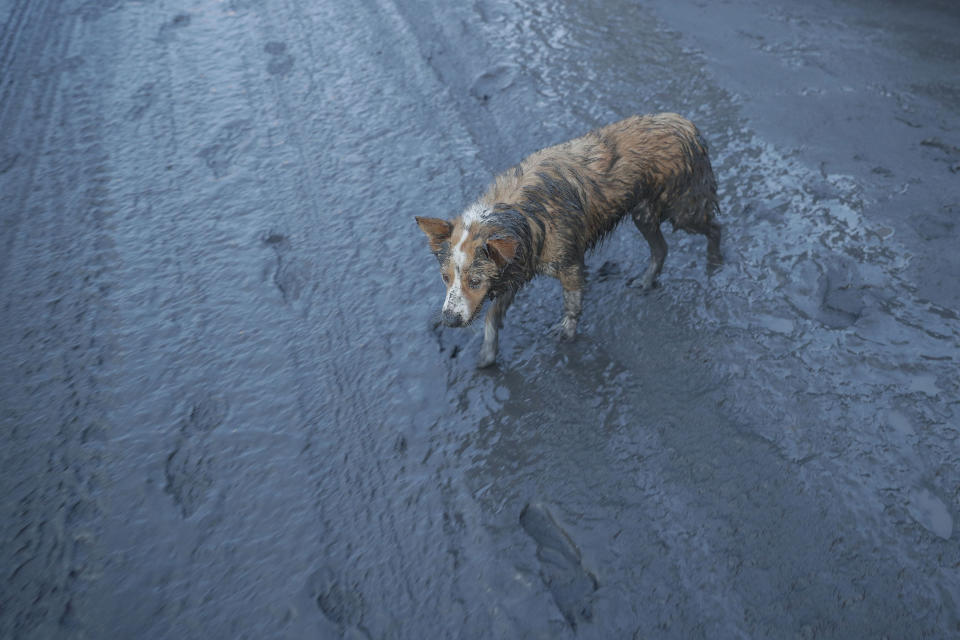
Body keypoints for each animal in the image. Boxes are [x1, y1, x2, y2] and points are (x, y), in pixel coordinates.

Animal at [414, 112, 720, 368]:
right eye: (445, 278)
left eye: (475, 281)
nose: (449, 320)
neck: (516, 213)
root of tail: (685, 123)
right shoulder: (515, 270)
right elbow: (491, 317)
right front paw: (488, 354)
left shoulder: (570, 264)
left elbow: (572, 304)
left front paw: (567, 332)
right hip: (643, 214)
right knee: (662, 248)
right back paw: (647, 281)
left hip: (683, 210)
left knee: (716, 226)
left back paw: (715, 263)